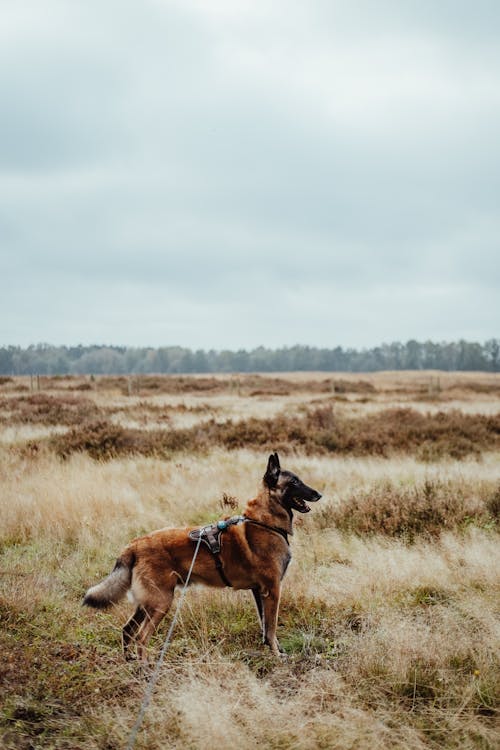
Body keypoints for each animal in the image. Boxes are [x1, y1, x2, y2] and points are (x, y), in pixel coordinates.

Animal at [84, 452, 322, 656]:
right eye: (294, 483)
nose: (319, 494)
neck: (265, 521)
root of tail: (134, 544)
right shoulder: (272, 590)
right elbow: (271, 628)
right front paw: (277, 655)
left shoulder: (259, 592)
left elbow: (265, 626)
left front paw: (275, 649)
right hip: (161, 602)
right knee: (141, 638)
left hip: (148, 603)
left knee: (127, 630)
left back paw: (130, 663)